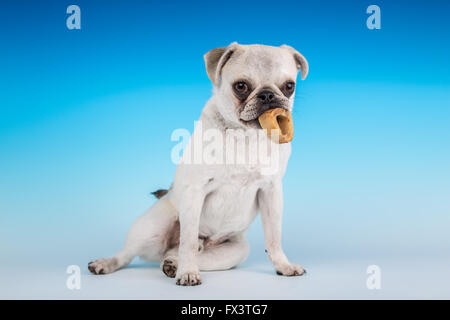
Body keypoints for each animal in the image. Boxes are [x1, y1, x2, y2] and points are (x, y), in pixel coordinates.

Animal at [88, 42, 308, 284]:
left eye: (289, 86)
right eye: (241, 86)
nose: (268, 95)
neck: (245, 137)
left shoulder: (271, 192)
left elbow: (274, 238)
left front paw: (283, 265)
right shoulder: (195, 191)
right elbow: (189, 240)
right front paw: (188, 272)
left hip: (236, 250)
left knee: (181, 254)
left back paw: (173, 264)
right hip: (153, 226)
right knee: (131, 253)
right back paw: (108, 263)